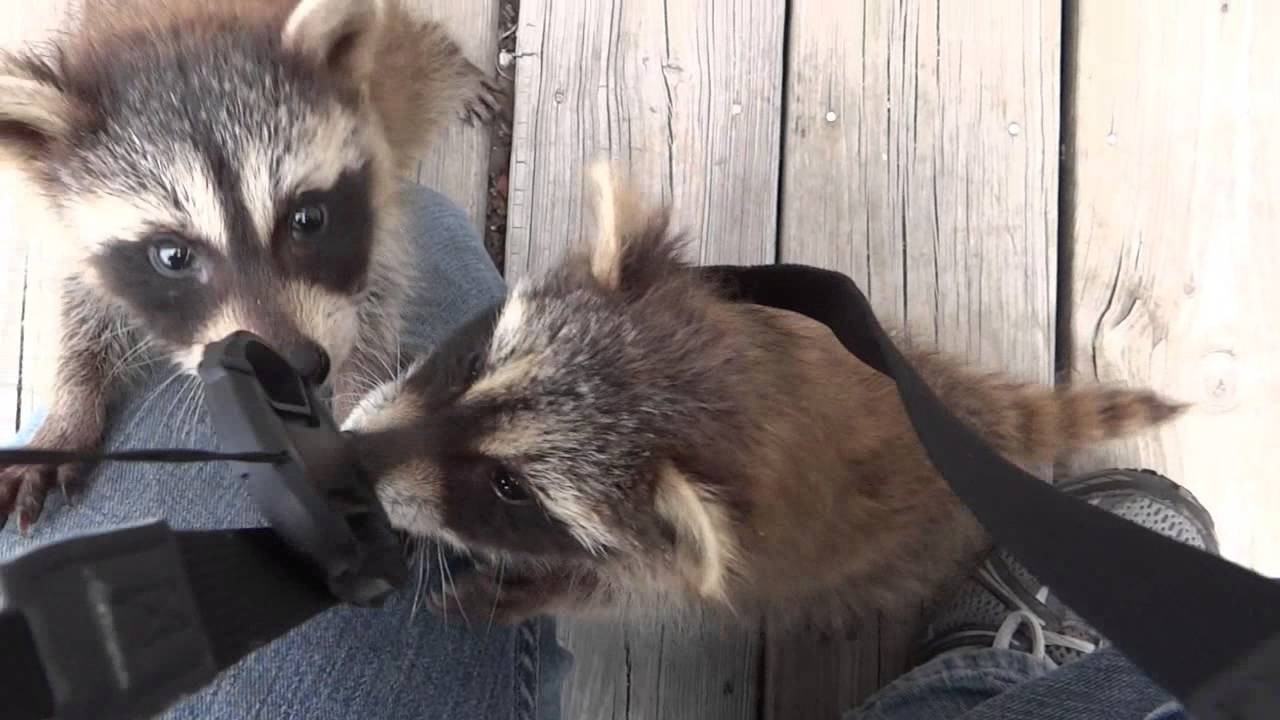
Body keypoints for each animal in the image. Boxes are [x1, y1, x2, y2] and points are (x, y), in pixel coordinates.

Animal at [0, 0, 499, 531]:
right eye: (173, 256)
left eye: (307, 218)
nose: (296, 366)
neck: (171, 30)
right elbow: (82, 300)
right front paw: (71, 406)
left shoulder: (374, 202)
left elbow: (376, 293)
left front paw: (359, 391)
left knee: (416, 62)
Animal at [343, 165, 1186, 627]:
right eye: (476, 359)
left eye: (509, 487)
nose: (354, 457)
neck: (732, 389)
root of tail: (954, 400)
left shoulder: (713, 555)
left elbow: (630, 592)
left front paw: (537, 590)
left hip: (894, 551)